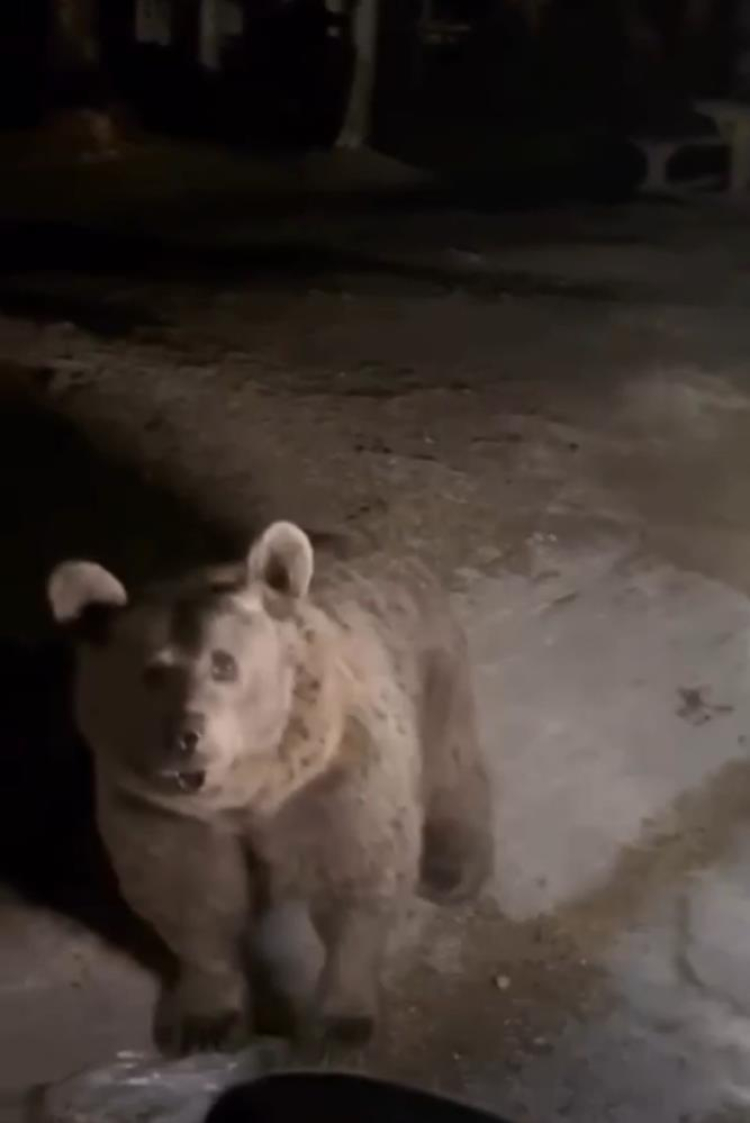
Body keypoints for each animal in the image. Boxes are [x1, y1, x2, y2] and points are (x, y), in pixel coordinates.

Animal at [47, 521, 493, 1055]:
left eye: (223, 663)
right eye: (152, 673)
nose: (186, 735)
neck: (246, 794)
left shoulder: (336, 776)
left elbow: (359, 879)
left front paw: (342, 1023)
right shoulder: (158, 810)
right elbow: (191, 901)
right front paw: (207, 1022)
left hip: (432, 659)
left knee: (451, 754)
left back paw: (452, 866)